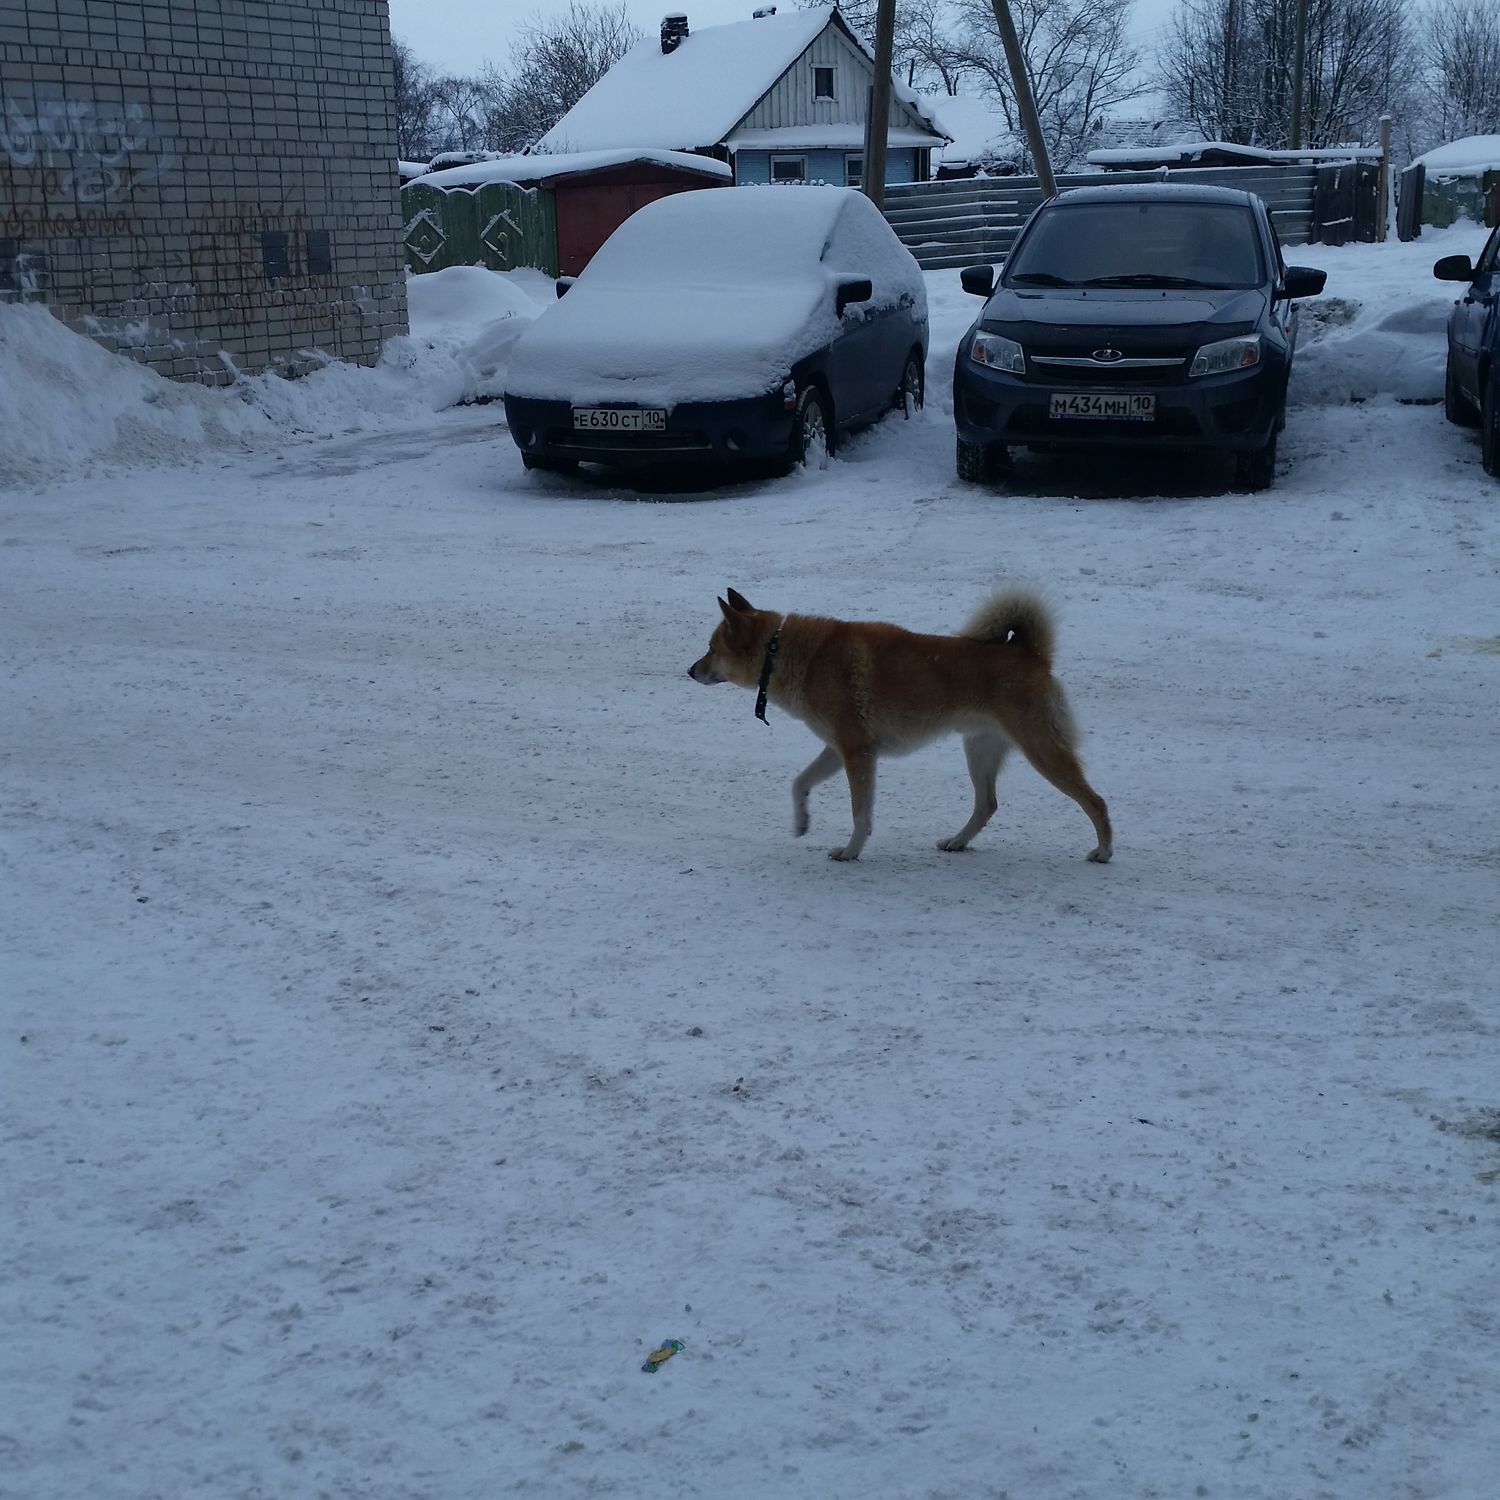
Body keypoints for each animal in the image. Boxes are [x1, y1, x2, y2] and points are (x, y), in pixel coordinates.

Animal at [688, 588, 1112, 864]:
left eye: (711, 649)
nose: (690, 671)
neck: (784, 653)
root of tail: (1031, 654)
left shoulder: (858, 753)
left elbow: (860, 813)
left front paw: (850, 852)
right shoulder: (839, 749)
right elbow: (799, 783)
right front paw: (802, 822)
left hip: (1042, 750)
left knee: (1096, 801)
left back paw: (1104, 850)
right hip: (979, 750)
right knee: (987, 804)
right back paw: (957, 841)